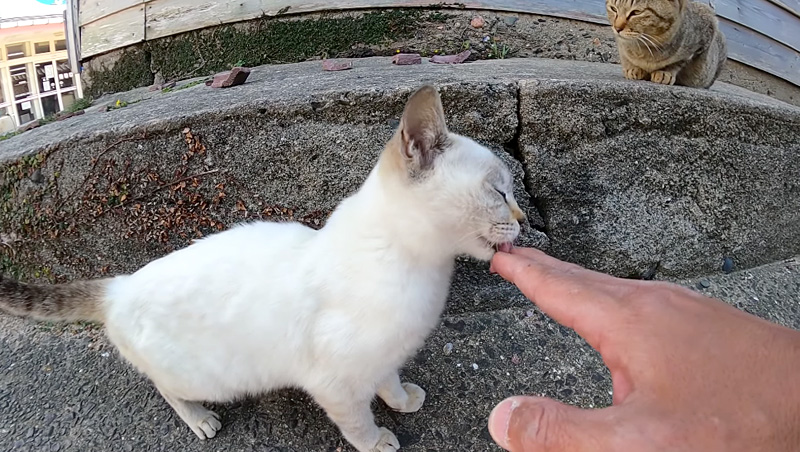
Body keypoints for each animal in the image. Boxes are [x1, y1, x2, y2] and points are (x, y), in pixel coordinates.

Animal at [0, 85, 524, 452]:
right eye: (500, 191)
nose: (522, 219)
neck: (422, 268)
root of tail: (119, 286)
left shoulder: (383, 356)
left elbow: (389, 381)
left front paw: (402, 402)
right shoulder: (336, 384)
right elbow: (358, 421)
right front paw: (378, 440)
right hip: (205, 378)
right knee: (167, 388)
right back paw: (199, 419)